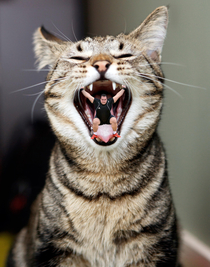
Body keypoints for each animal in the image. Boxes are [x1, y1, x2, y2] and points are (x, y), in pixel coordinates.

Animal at [7, 6, 181, 267]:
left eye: (124, 55)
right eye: (77, 58)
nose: (101, 63)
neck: (104, 180)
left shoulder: (156, 246)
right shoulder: (55, 247)